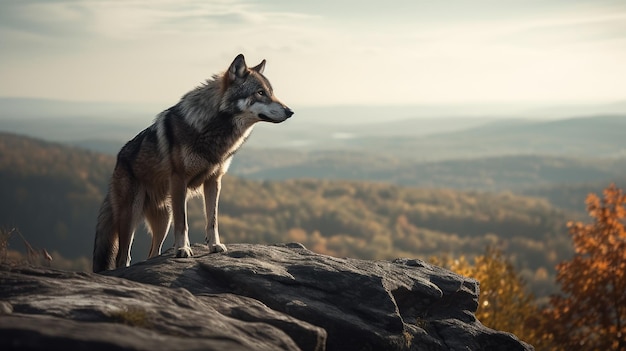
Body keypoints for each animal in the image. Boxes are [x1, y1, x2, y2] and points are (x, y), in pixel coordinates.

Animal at [91, 54, 292, 272]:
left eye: (272, 93)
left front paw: (214, 246)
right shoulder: (179, 180)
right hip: (131, 216)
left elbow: (212, 220)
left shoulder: (214, 181)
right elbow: (184, 223)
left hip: (163, 220)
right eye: (260, 93)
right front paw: (183, 250)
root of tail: (118, 160)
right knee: (123, 258)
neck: (213, 130)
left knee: (152, 253)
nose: (290, 111)